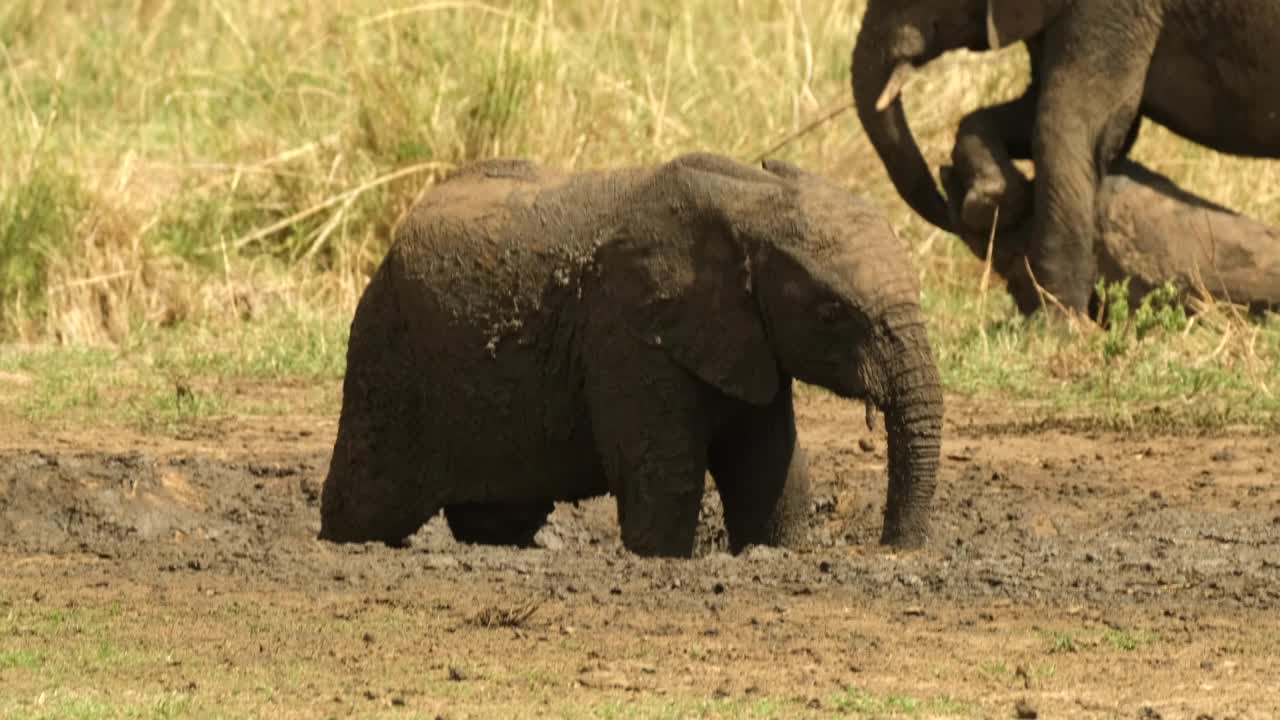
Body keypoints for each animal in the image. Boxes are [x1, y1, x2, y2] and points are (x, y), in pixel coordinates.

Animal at [318, 151, 942, 556]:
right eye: (832, 313)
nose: (891, 550)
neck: (750, 204)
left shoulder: (746, 339)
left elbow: (772, 468)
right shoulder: (628, 327)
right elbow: (668, 474)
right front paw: (658, 558)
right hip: (388, 346)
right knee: (368, 501)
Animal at [855, 0, 1280, 313]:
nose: (947, 207)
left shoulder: (1113, 9)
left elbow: (1061, 122)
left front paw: (1053, 327)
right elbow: (1032, 112)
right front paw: (993, 201)